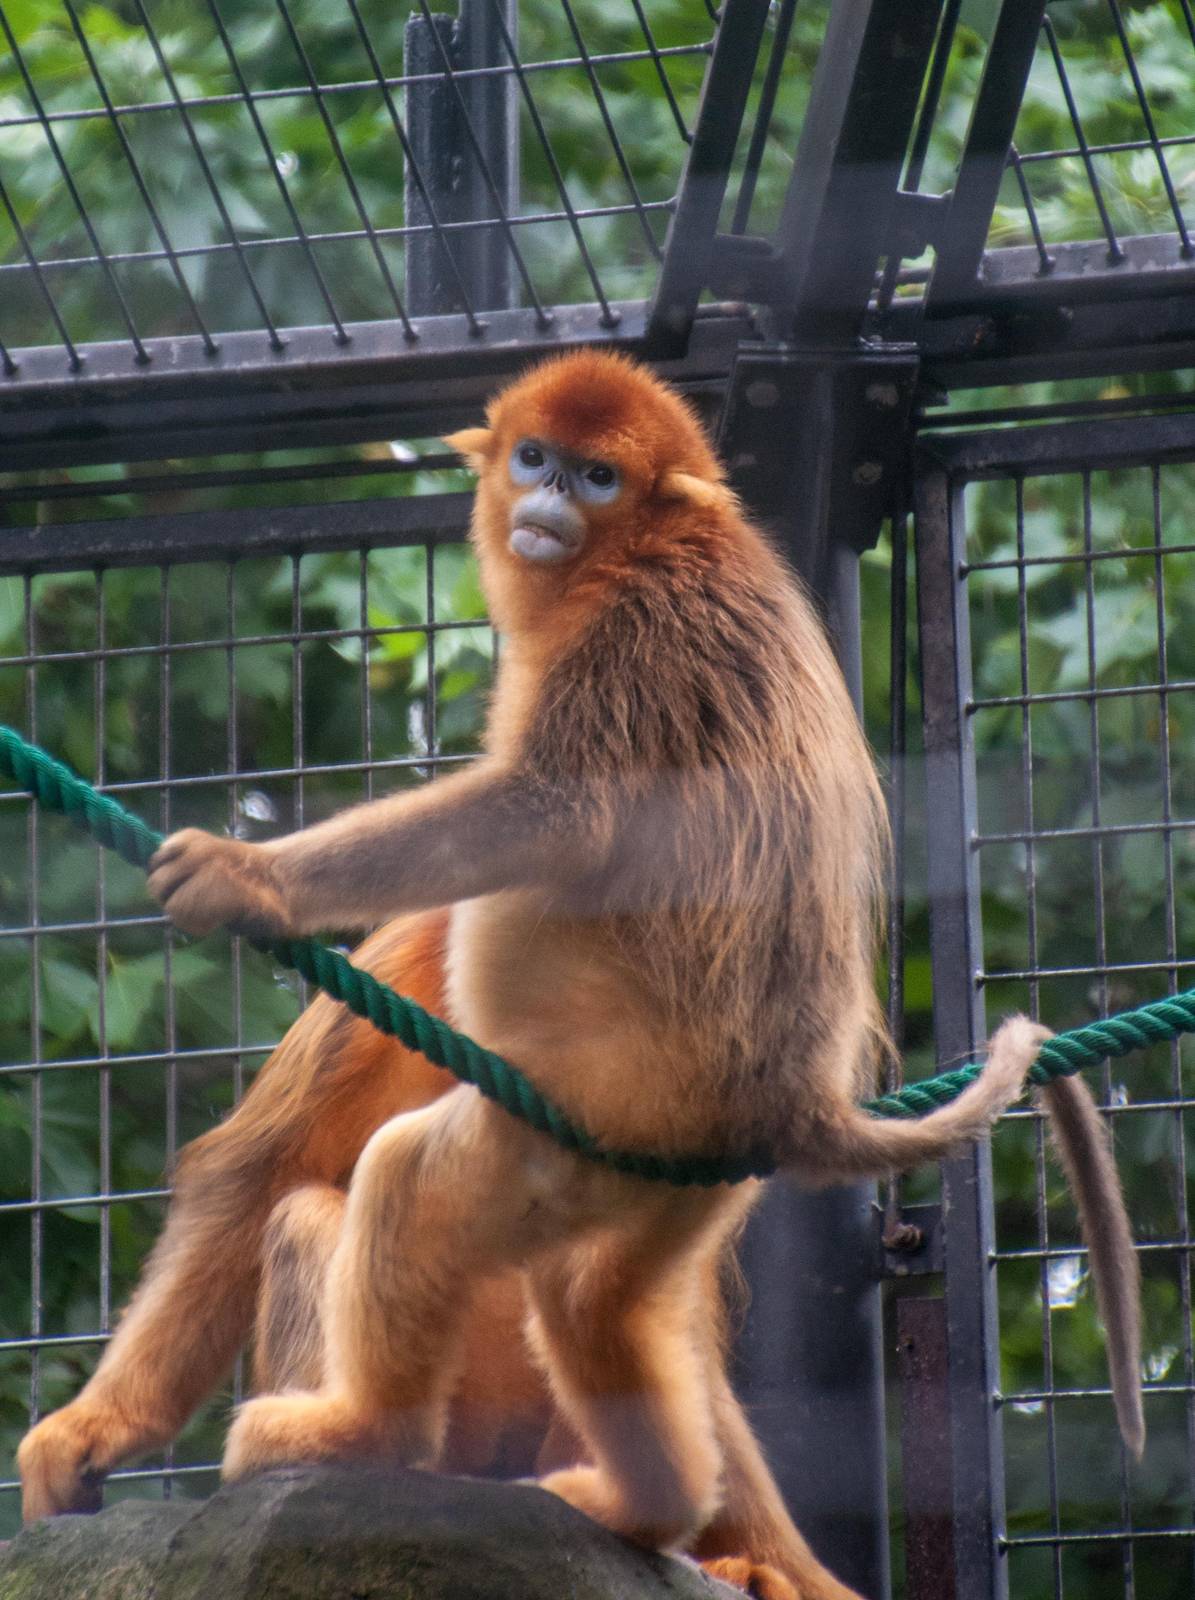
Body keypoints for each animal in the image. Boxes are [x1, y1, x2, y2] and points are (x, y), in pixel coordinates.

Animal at [16, 352, 1142, 1600]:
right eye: (534, 456)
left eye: (599, 475)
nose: (550, 497)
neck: (656, 544)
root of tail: (786, 1097)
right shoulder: (407, 955)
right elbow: (249, 1168)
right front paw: (95, 1431)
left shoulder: (621, 632)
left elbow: (548, 807)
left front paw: (247, 876)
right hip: (651, 1174)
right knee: (548, 1280)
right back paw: (638, 1503)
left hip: (584, 1117)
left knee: (404, 1187)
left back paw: (381, 1444)